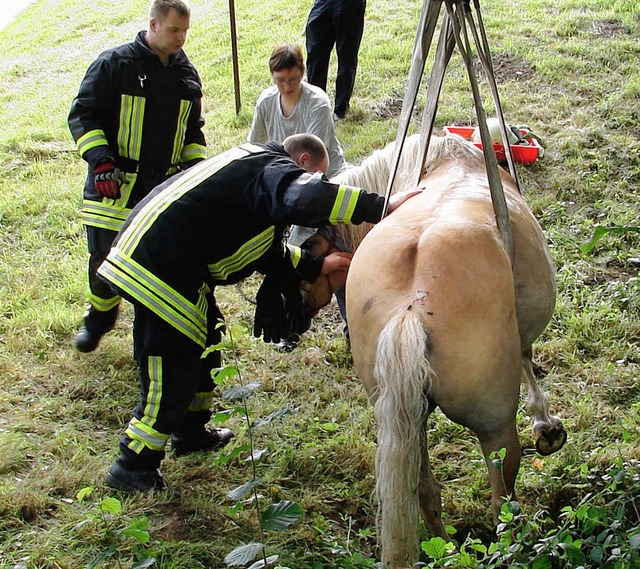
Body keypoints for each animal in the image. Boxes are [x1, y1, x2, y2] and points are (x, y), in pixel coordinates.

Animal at [298, 134, 568, 568]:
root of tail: (412, 307)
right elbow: (528, 358)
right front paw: (546, 426)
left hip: (404, 420)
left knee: (425, 490)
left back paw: (444, 550)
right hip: (493, 424)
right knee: (502, 501)